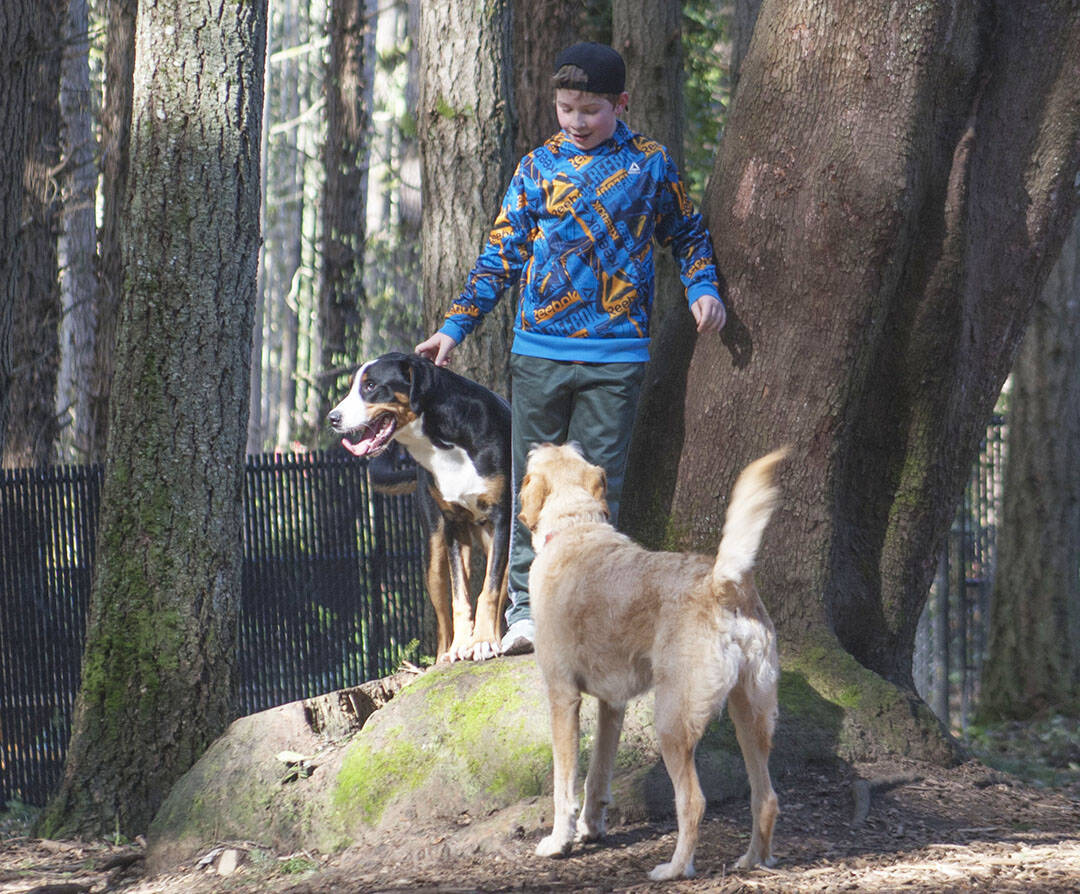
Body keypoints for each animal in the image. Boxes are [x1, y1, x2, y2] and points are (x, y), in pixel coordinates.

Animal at [326, 351, 511, 660]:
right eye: (352, 386)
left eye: (371, 386)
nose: (333, 418)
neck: (447, 442)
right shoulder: (452, 525)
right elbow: (460, 597)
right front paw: (464, 644)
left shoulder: (501, 519)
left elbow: (489, 590)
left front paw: (484, 640)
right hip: (435, 555)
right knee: (443, 620)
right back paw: (447, 653)